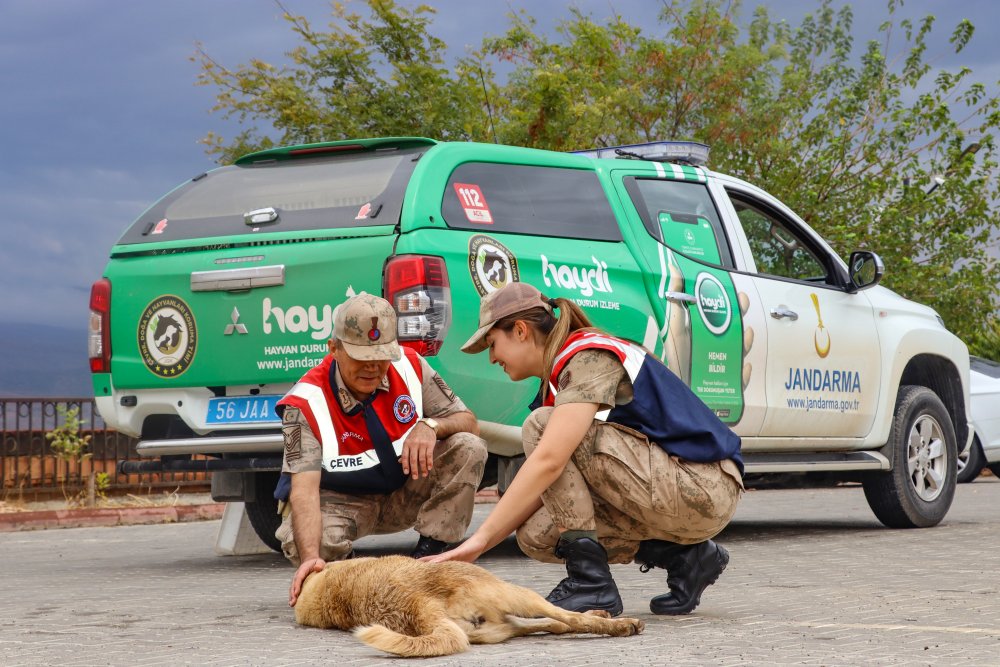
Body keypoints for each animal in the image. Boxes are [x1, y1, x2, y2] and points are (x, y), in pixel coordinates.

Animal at [292, 552, 644, 656]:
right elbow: (562, 619)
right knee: (567, 619)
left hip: (498, 625)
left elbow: (551, 624)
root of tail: (419, 607)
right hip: (511, 592)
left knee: (552, 623)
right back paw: (618, 624)